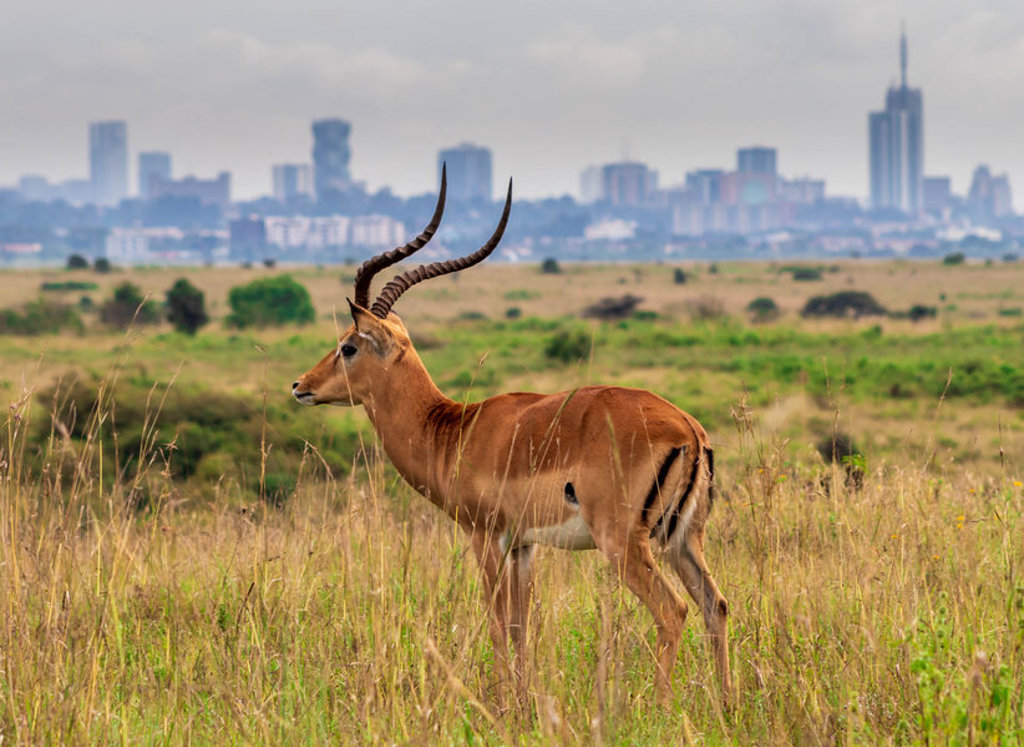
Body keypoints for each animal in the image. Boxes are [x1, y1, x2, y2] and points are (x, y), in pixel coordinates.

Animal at [292, 169, 732, 706]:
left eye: (348, 346)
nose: (301, 386)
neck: (452, 430)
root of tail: (688, 427)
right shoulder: (525, 546)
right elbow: (523, 627)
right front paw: (522, 700)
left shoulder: (486, 536)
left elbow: (499, 624)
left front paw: (501, 703)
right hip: (683, 539)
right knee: (715, 605)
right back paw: (727, 705)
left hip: (624, 542)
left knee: (673, 611)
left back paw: (659, 707)